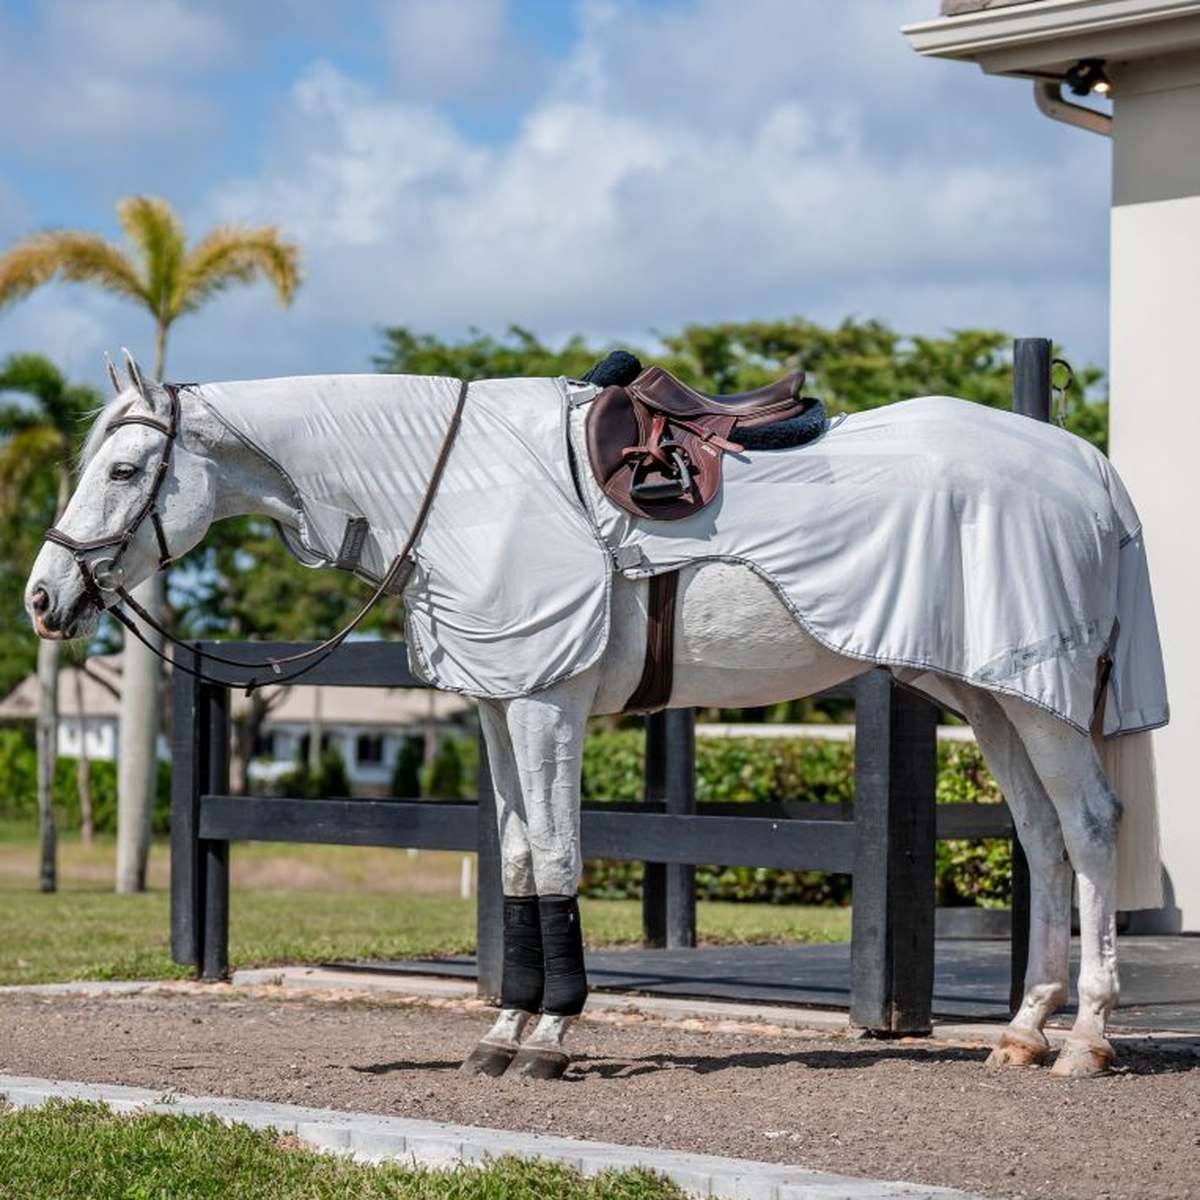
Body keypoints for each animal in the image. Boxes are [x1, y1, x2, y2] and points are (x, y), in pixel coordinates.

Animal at [24, 352, 1167, 1081]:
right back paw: (1022, 1032)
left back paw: (1084, 1041)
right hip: (993, 699)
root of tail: (1084, 466)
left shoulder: (546, 701)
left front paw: (549, 1037)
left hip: (1036, 700)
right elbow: (521, 863)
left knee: (1089, 831)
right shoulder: (499, 703)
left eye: (124, 469)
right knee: (1042, 839)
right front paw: (505, 1032)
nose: (43, 597)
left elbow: (562, 858)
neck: (459, 487)